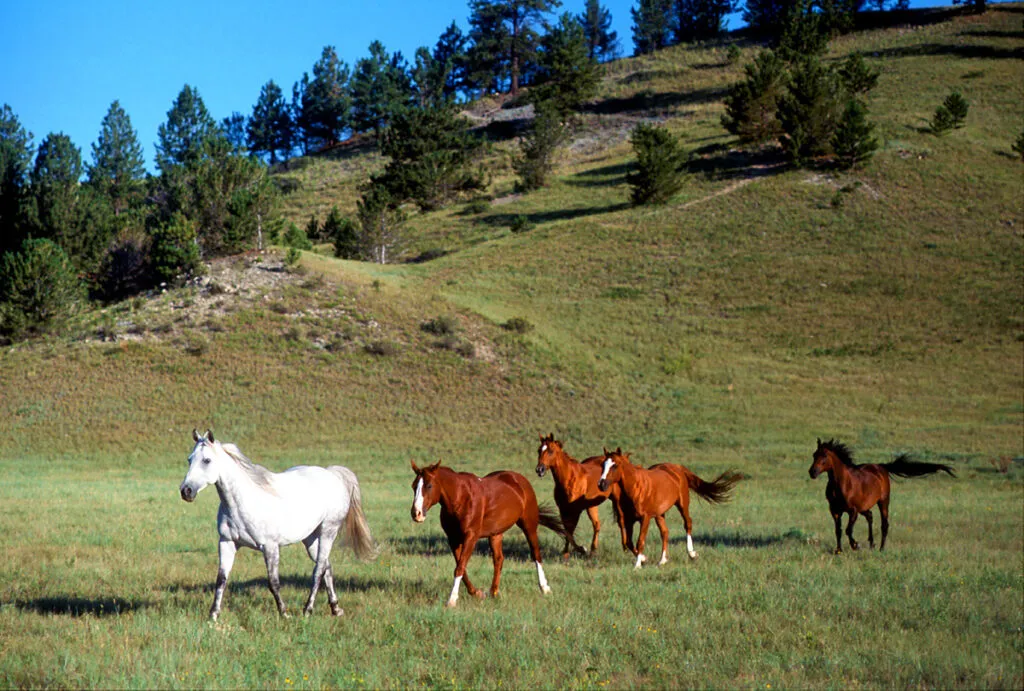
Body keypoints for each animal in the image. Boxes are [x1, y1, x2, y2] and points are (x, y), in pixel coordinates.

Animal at [179, 430, 376, 620]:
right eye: (189, 459)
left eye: (206, 460)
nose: (186, 491)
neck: (243, 503)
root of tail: (332, 474)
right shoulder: (227, 543)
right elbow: (221, 579)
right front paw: (213, 615)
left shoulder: (270, 547)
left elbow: (273, 582)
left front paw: (285, 613)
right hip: (310, 538)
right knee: (327, 567)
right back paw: (335, 608)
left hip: (328, 531)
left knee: (319, 569)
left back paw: (308, 610)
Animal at [410, 460, 565, 607]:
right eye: (413, 486)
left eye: (429, 485)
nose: (416, 513)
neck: (461, 498)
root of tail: (519, 479)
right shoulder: (453, 539)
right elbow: (461, 568)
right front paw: (478, 593)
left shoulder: (471, 537)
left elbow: (460, 567)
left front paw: (451, 600)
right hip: (496, 534)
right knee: (498, 559)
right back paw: (493, 592)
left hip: (529, 526)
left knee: (536, 554)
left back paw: (544, 588)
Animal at [598, 447, 742, 569]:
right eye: (603, 465)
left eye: (615, 465)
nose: (601, 484)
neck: (636, 488)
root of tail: (677, 468)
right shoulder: (629, 520)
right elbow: (629, 542)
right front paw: (644, 559)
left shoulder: (645, 518)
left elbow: (640, 541)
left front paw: (637, 565)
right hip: (659, 514)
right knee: (665, 532)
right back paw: (662, 560)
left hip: (683, 504)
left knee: (687, 524)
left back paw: (692, 554)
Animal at [809, 438, 956, 553]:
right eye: (814, 455)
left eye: (824, 456)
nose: (812, 472)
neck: (842, 484)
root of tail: (881, 467)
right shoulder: (835, 511)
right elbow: (838, 530)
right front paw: (838, 550)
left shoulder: (853, 510)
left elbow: (848, 530)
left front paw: (856, 545)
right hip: (865, 506)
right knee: (870, 516)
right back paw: (872, 544)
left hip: (883, 501)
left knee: (884, 524)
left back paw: (881, 549)